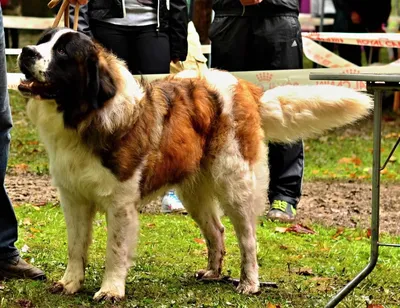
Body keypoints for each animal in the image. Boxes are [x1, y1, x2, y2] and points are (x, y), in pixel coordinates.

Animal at [16, 27, 372, 302]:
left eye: (62, 51)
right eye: (44, 41)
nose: (26, 51)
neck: (86, 115)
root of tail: (246, 87)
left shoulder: (120, 204)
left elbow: (114, 250)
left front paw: (111, 290)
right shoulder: (74, 199)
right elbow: (76, 246)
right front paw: (69, 283)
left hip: (235, 185)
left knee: (248, 237)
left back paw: (249, 283)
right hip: (194, 191)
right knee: (216, 230)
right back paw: (214, 272)